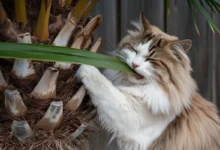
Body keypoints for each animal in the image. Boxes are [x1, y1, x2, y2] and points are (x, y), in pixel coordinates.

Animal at [75, 12, 220, 149]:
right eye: (134, 50)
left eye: (151, 60)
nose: (134, 64)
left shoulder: (132, 119)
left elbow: (104, 86)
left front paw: (84, 63)